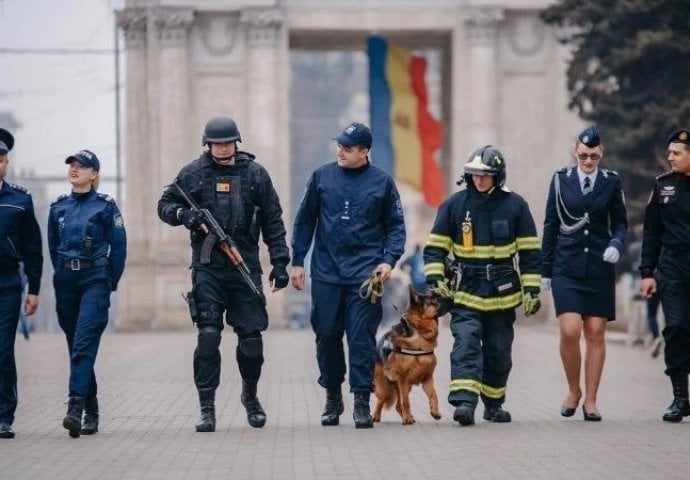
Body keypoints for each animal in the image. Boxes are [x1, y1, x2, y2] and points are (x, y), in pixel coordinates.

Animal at [374, 284, 448, 424]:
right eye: (434, 301)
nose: (451, 297)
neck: (419, 334)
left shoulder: (427, 378)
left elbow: (433, 395)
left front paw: (435, 412)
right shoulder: (403, 379)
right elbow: (406, 402)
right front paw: (407, 417)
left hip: (406, 387)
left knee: (398, 405)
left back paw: (408, 417)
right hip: (385, 386)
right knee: (381, 400)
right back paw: (376, 416)